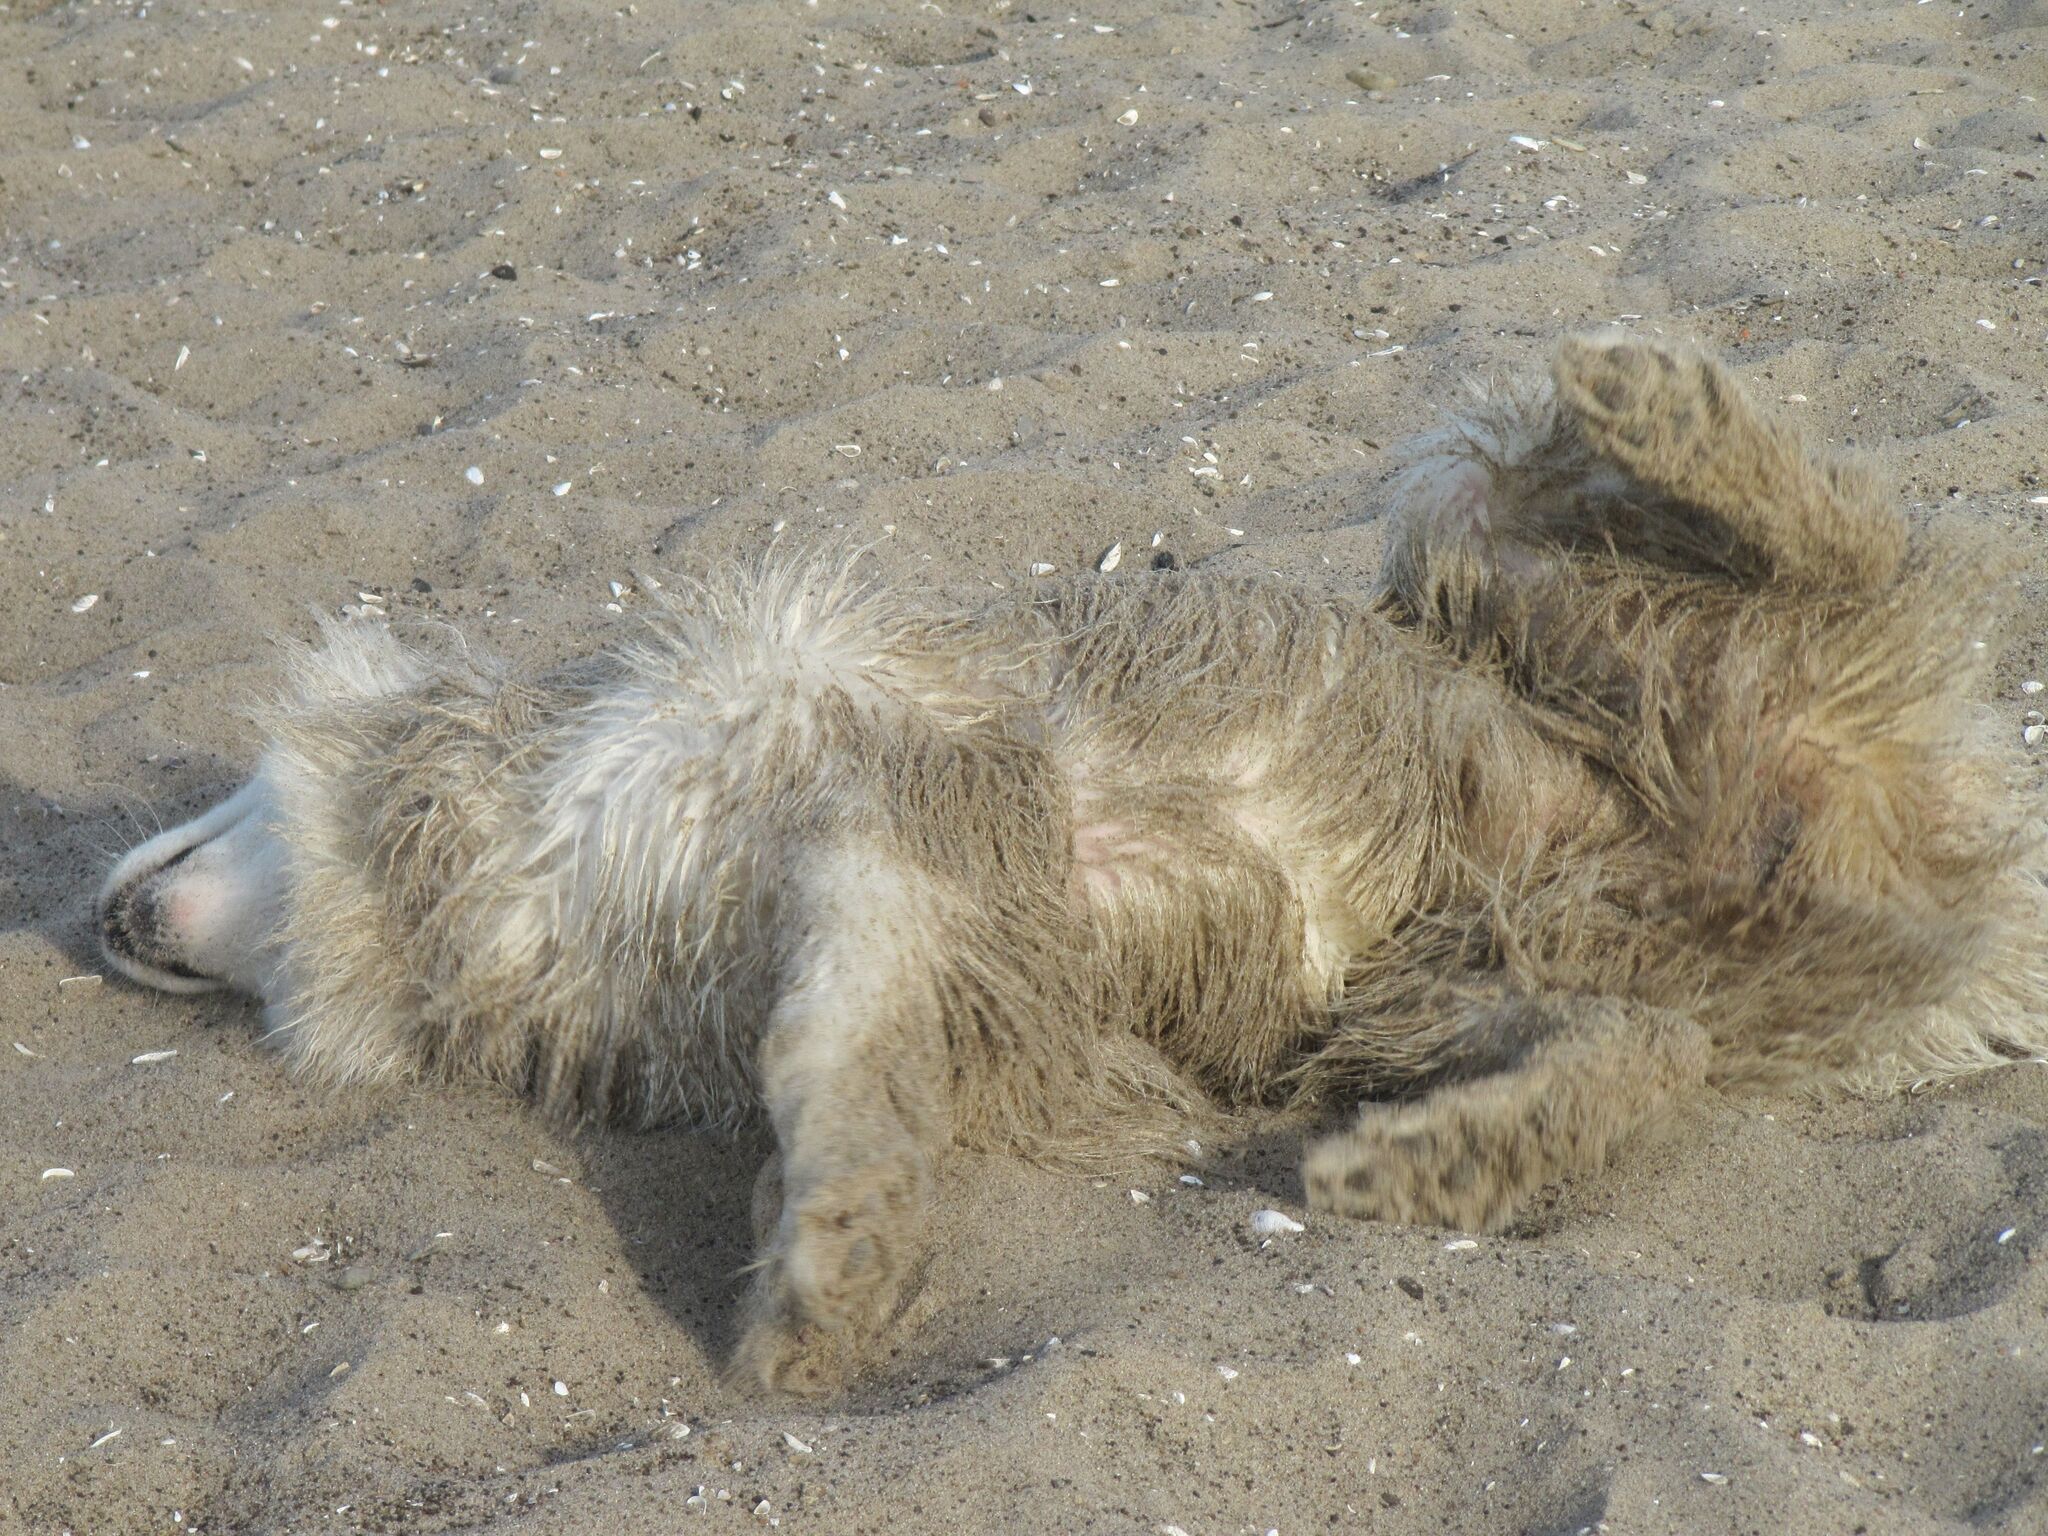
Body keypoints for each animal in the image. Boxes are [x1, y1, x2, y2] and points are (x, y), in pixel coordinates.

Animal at [96, 333, 2048, 1392]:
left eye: (226, 793)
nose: (93, 919)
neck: (489, 856)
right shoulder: (875, 907)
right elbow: (842, 1059)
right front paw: (838, 1256)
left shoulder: (863, 814)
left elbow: (836, 1062)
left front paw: (826, 1268)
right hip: (1479, 974)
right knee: (1647, 1051)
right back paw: (1439, 1156)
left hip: (1523, 584)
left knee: (1798, 532)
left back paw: (1661, 403)